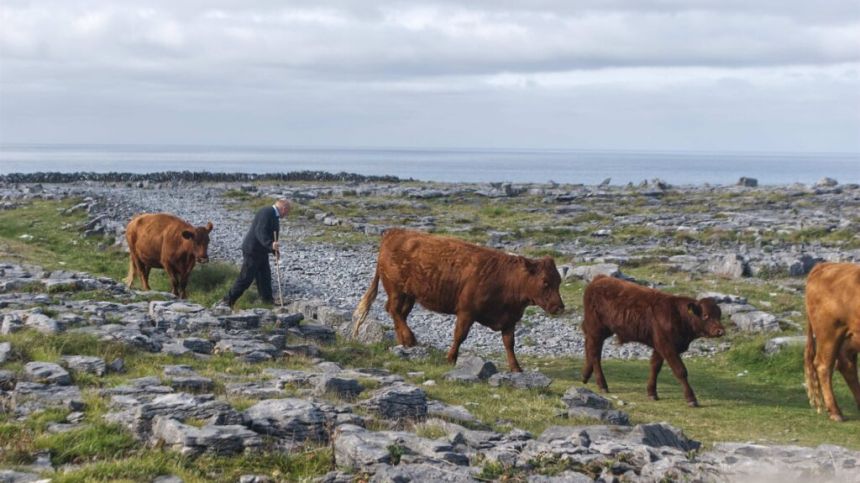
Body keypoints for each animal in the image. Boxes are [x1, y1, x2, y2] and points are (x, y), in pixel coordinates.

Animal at [350, 229, 564, 372]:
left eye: (559, 281)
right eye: (545, 282)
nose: (559, 307)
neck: (506, 279)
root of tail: (394, 232)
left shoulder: (509, 320)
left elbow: (509, 343)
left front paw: (516, 368)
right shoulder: (466, 312)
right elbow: (459, 336)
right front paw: (451, 359)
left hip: (409, 295)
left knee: (398, 313)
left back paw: (404, 340)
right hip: (396, 290)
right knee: (394, 310)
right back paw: (410, 339)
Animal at [576, 274, 724, 406]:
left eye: (719, 315)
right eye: (705, 315)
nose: (720, 331)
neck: (678, 315)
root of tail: (600, 278)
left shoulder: (659, 346)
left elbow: (655, 367)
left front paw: (652, 393)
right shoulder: (667, 346)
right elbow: (680, 371)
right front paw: (691, 398)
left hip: (602, 330)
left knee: (590, 347)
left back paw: (585, 375)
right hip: (596, 328)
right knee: (595, 353)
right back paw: (602, 384)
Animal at [804, 262, 860, 422]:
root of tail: (825, 265)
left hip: (851, 336)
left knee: (846, 363)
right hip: (829, 332)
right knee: (824, 365)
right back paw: (835, 412)